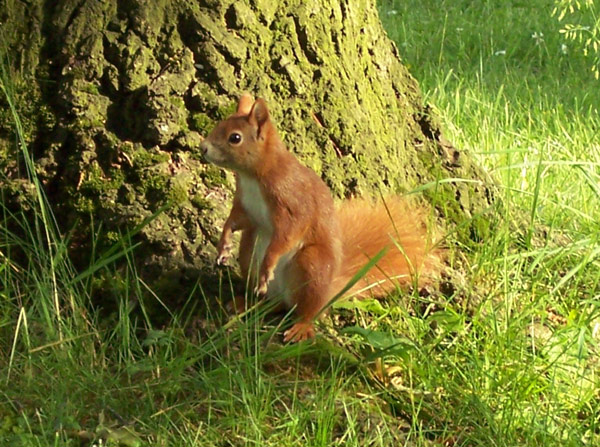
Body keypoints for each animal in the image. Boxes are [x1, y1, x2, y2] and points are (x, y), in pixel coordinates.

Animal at [202, 94, 440, 344]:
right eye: (219, 124)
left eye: (235, 138)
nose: (203, 148)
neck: (253, 176)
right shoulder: (245, 205)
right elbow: (235, 221)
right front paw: (223, 243)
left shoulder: (293, 204)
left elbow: (287, 235)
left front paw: (269, 262)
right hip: (249, 253)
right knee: (271, 302)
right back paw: (245, 303)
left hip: (312, 266)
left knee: (308, 310)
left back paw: (301, 327)